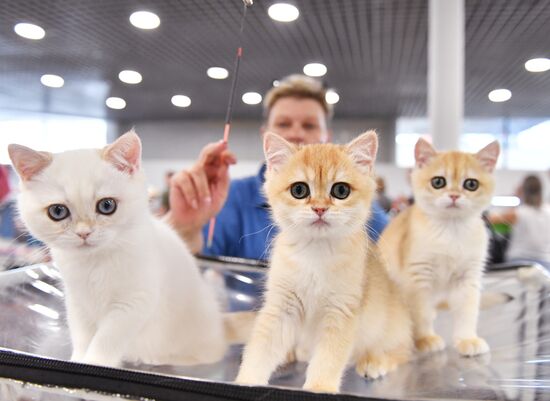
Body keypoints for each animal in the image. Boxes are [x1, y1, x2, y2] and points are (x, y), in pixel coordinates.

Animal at [7, 130, 226, 366]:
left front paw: (95, 362)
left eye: (107, 205)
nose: (84, 233)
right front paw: (79, 359)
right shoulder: (77, 302)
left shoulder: (135, 301)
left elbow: (107, 338)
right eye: (57, 211)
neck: (94, 262)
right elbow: (82, 335)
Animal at [237, 131, 414, 390]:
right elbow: (260, 349)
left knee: (402, 352)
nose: (319, 208)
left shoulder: (340, 312)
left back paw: (375, 361)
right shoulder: (281, 308)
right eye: (299, 190)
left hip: (392, 329)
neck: (315, 253)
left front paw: (319, 387)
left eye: (340, 190)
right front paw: (247, 380)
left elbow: (328, 359)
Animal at [380, 138, 500, 356]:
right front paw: (425, 339)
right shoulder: (418, 278)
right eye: (438, 182)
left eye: (471, 184)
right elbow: (421, 313)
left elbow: (467, 312)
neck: (451, 232)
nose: (454, 196)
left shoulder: (468, 279)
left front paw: (467, 339)